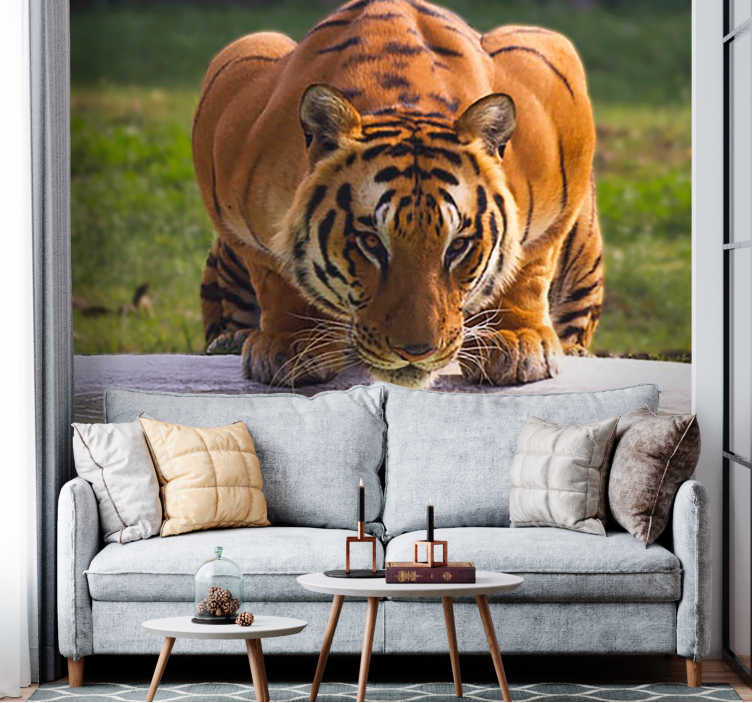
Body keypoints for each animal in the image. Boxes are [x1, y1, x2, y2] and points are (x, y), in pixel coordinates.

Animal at [193, 0, 603, 389]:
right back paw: (229, 341)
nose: (416, 351)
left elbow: (530, 263)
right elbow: (273, 273)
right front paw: (291, 344)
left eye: (458, 246)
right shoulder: (230, 93)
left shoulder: (553, 74)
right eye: (371, 243)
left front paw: (516, 341)